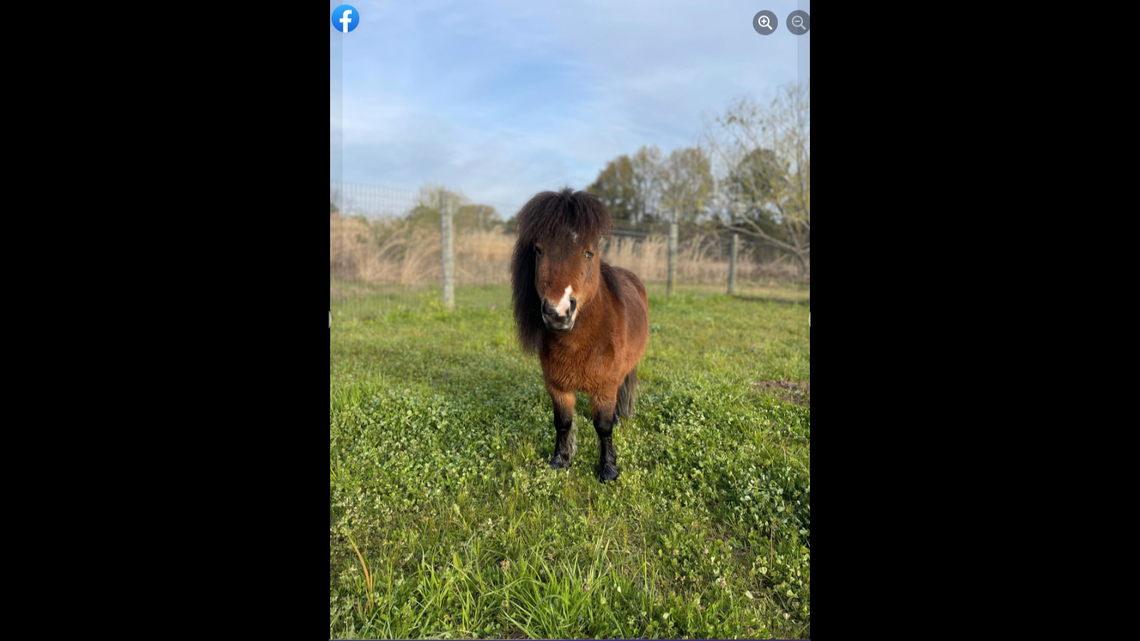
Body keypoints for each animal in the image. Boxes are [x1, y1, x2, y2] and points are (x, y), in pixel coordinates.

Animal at [510, 188, 649, 482]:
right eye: (539, 250)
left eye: (588, 252)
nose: (558, 312)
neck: (580, 343)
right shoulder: (558, 387)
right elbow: (562, 422)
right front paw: (561, 459)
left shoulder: (605, 387)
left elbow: (603, 426)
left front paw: (608, 469)